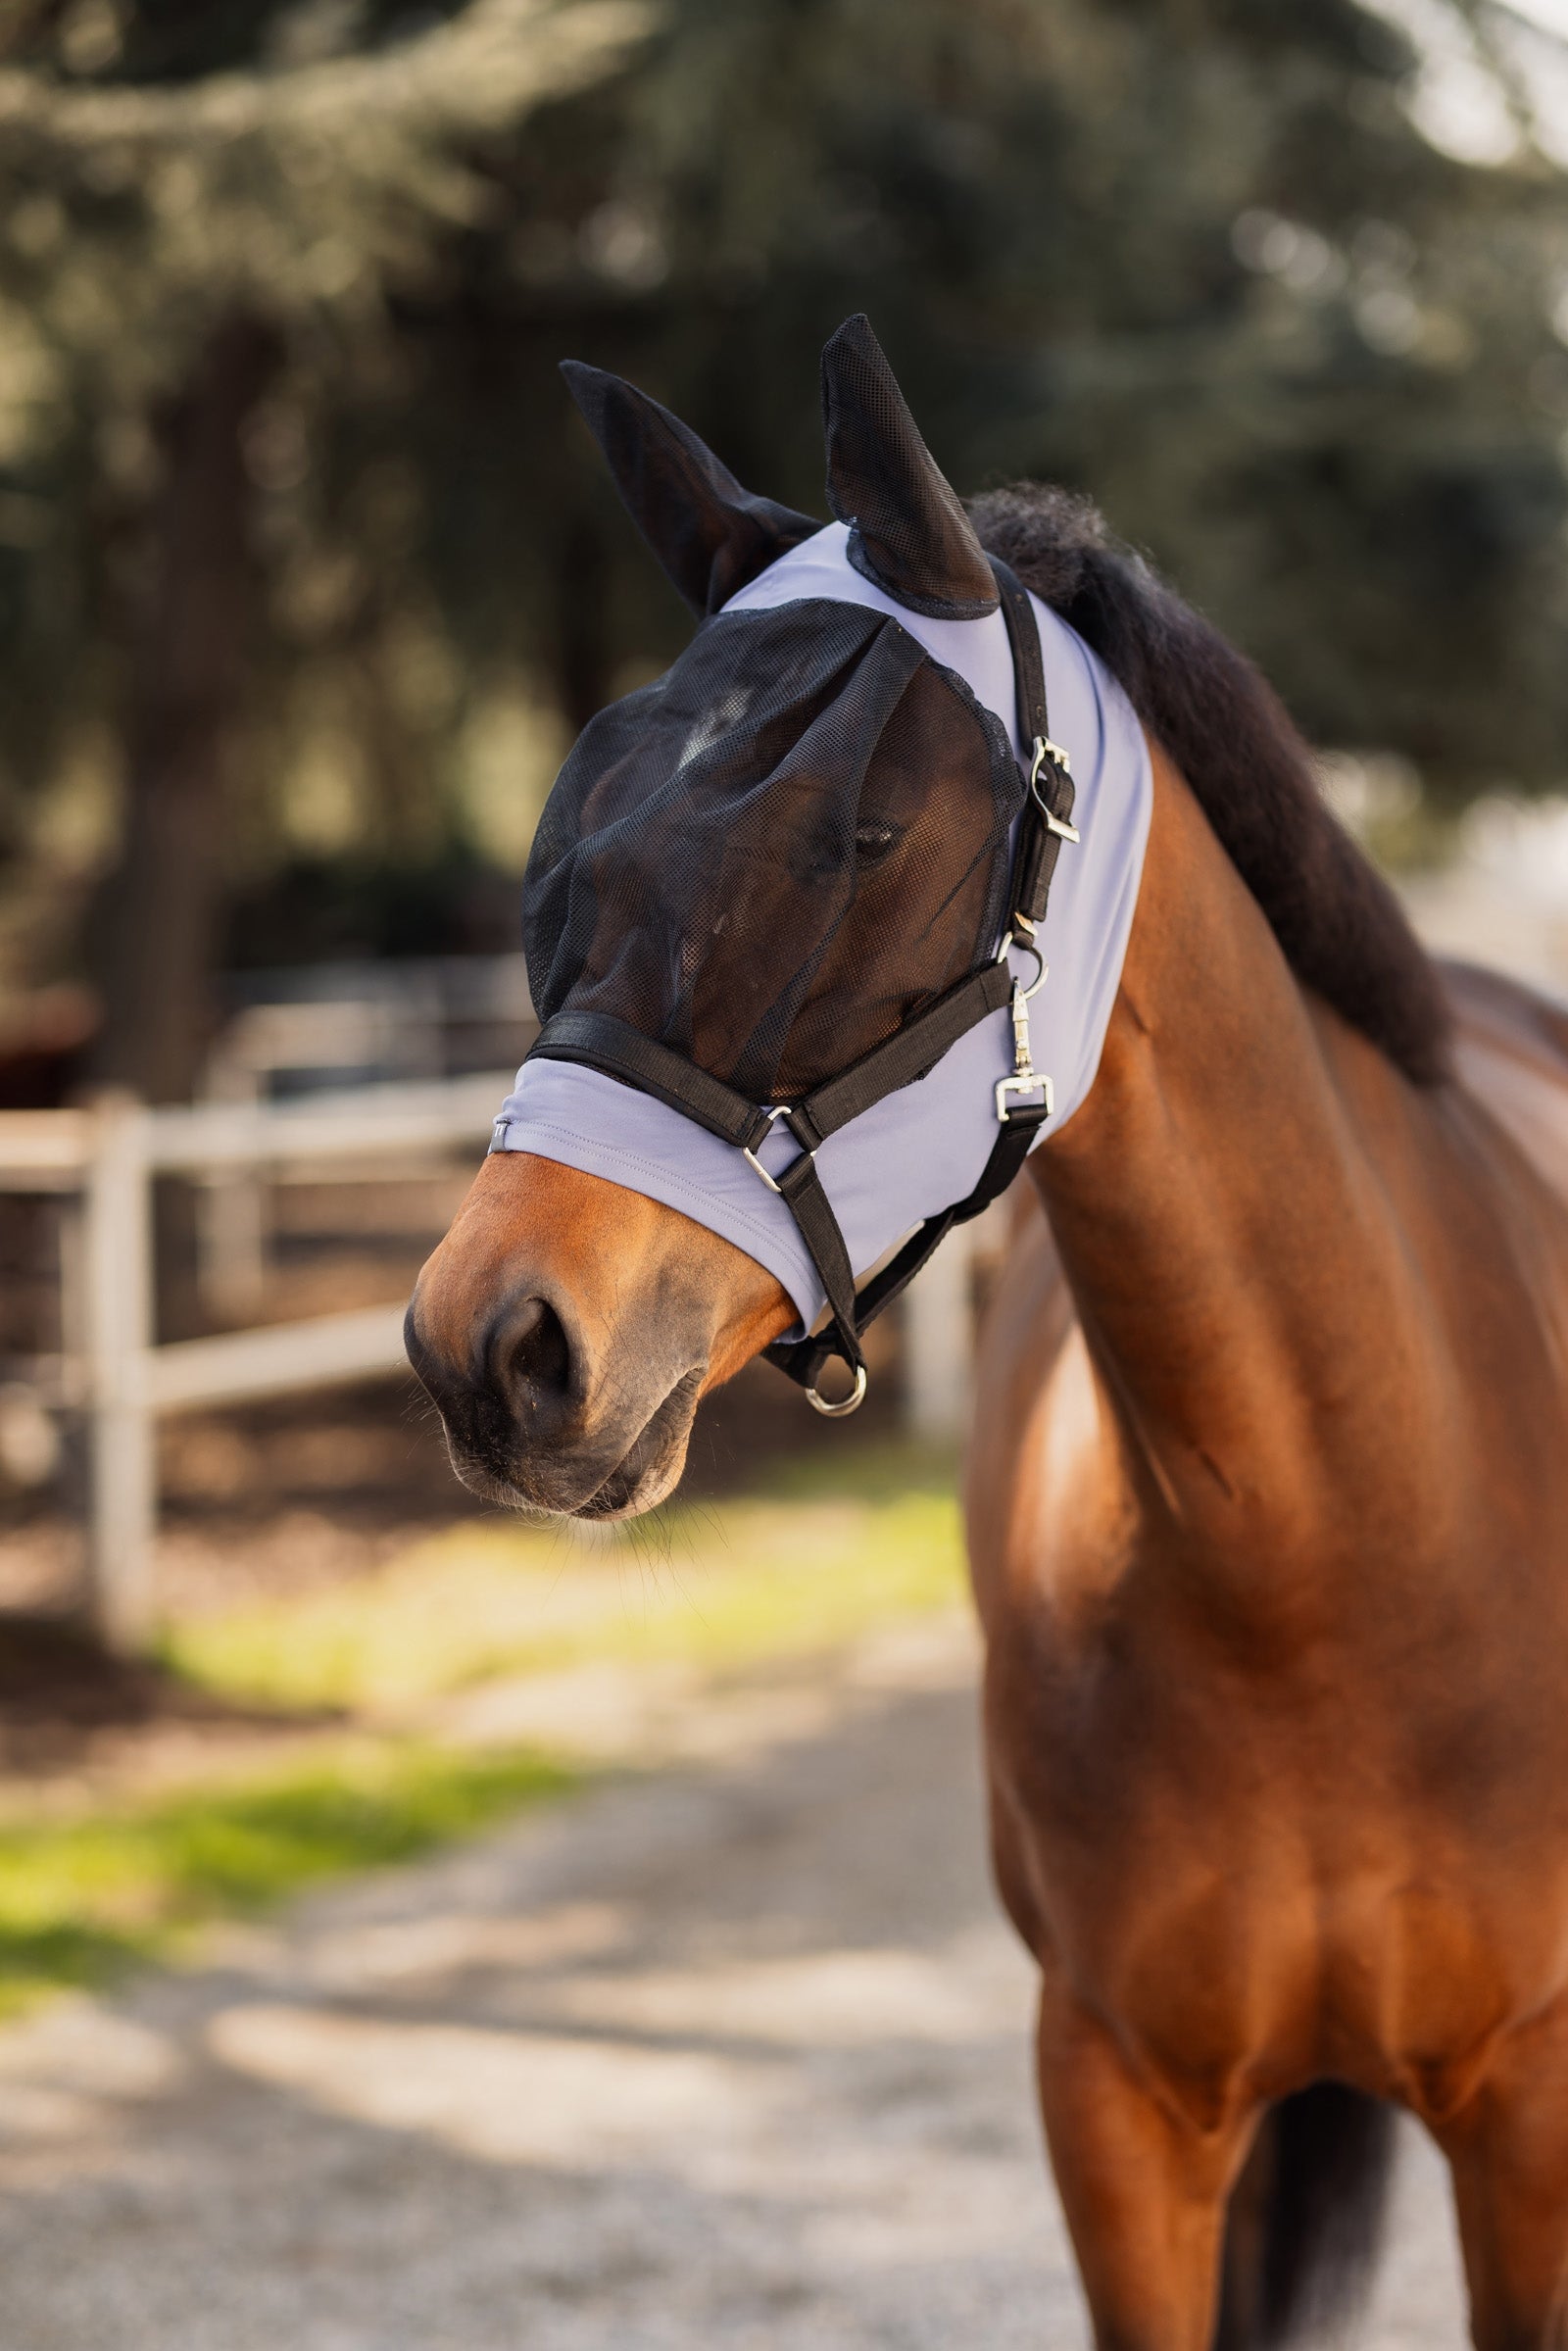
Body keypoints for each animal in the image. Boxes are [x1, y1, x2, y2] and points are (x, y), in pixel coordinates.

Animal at [407, 320, 1568, 2350]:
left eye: (864, 831)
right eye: (574, 826)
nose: (493, 1342)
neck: (1340, 1548)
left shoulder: (1533, 2114)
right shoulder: (1115, 2098)